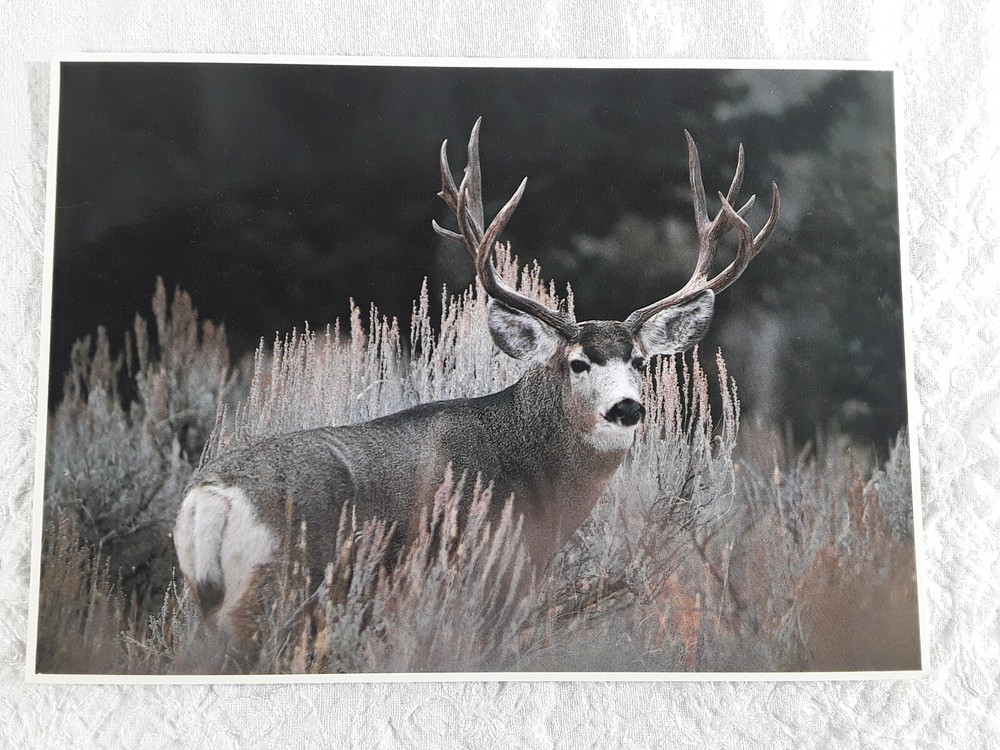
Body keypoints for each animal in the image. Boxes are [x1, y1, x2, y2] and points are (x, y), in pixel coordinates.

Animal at [173, 119, 779, 652]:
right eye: (578, 362)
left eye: (638, 360)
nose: (627, 408)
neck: (536, 478)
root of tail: (211, 496)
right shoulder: (491, 578)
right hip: (274, 589)